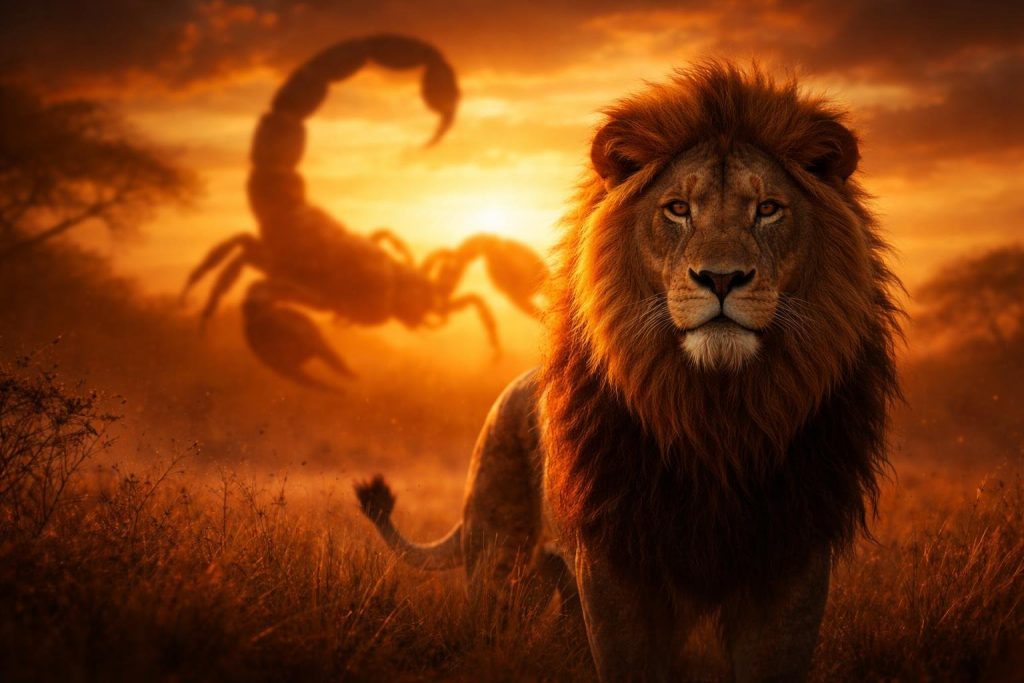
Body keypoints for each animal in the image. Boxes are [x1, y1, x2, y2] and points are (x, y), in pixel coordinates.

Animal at [355, 62, 902, 682]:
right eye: (678, 209)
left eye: (767, 209)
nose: (721, 278)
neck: (718, 417)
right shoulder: (616, 562)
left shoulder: (791, 559)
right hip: (501, 571)